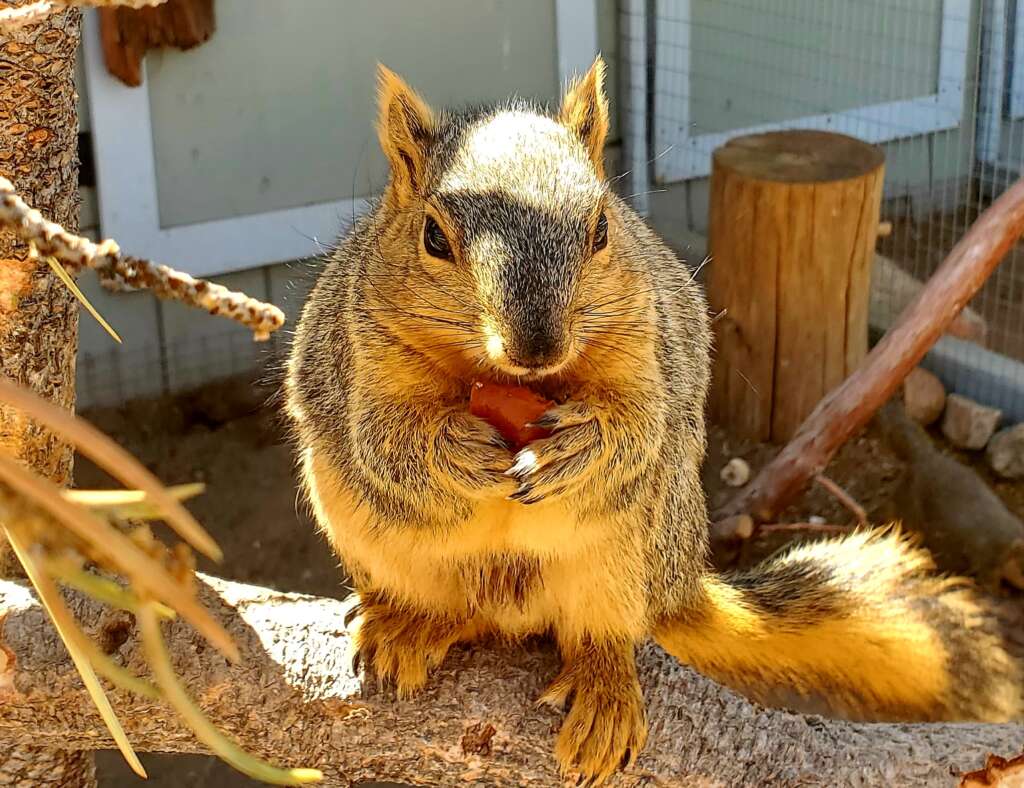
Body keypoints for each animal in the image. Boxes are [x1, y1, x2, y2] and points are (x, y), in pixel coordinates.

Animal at [288, 56, 1024, 777]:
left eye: (602, 228)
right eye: (433, 237)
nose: (537, 347)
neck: (507, 380)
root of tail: (677, 585)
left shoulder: (647, 343)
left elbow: (639, 424)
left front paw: (578, 445)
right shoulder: (363, 353)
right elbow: (383, 437)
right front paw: (459, 449)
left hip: (629, 545)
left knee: (603, 630)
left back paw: (604, 688)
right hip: (369, 533)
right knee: (456, 610)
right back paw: (414, 625)